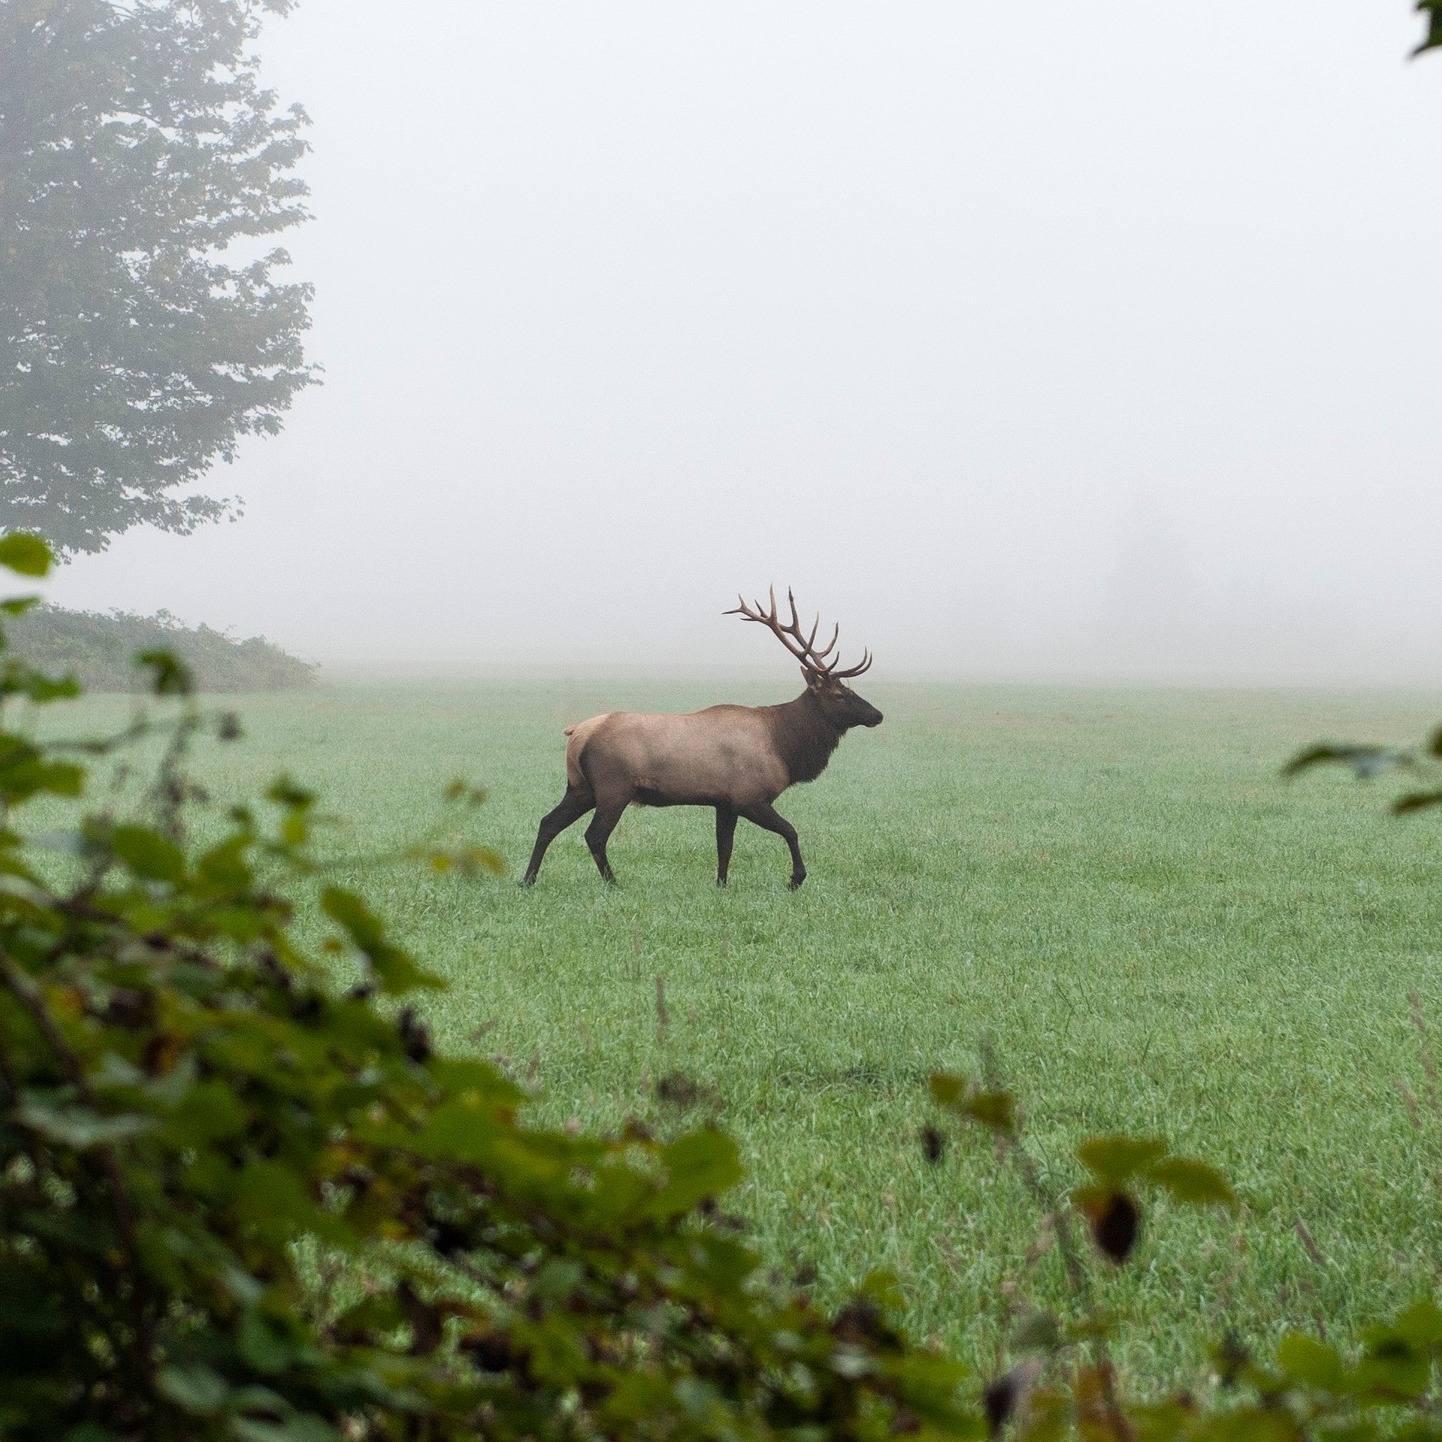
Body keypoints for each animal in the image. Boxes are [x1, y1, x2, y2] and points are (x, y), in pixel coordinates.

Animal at [521, 589, 883, 889]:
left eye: (850, 690)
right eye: (840, 695)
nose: (877, 715)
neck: (785, 747)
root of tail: (577, 733)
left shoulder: (725, 801)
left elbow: (724, 846)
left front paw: (721, 884)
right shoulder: (750, 796)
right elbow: (790, 830)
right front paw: (796, 878)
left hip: (580, 786)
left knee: (548, 823)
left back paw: (527, 880)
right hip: (614, 787)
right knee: (594, 835)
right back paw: (613, 883)